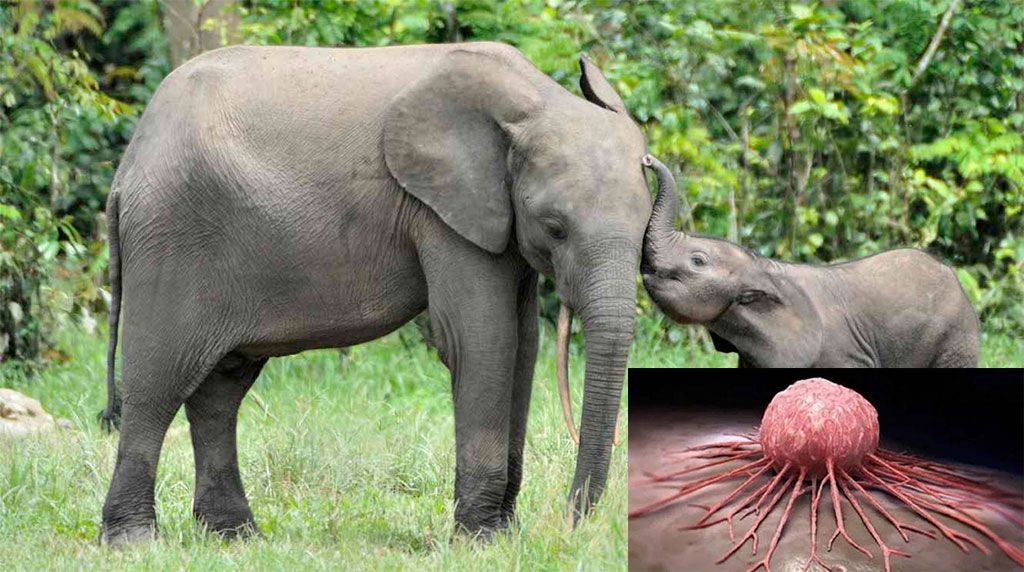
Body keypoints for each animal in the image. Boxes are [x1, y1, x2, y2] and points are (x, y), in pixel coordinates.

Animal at [98, 42, 652, 544]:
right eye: (556, 228)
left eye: (647, 223)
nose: (571, 522)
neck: (535, 100)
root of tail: (127, 168)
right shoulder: (441, 212)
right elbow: (481, 340)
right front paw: (480, 540)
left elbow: (523, 347)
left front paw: (503, 535)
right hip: (172, 237)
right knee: (157, 384)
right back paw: (134, 541)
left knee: (219, 391)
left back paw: (235, 537)